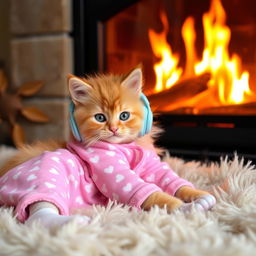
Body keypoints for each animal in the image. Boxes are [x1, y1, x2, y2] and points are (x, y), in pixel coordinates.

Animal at [0, 68, 216, 228]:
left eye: (124, 115)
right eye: (100, 118)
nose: (113, 128)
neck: (125, 146)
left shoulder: (152, 163)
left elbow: (170, 178)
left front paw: (198, 195)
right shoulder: (110, 168)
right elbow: (150, 192)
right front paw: (183, 208)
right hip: (44, 170)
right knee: (37, 211)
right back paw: (71, 222)